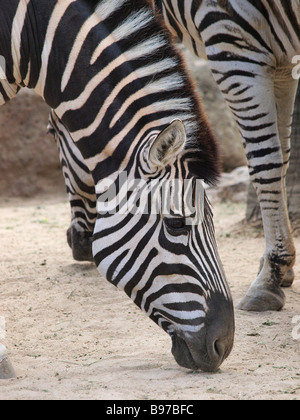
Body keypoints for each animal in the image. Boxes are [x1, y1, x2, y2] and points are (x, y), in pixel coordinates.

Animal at [155, 0, 300, 312]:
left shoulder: (233, 47)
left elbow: (264, 163)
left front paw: (270, 276)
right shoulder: (281, 64)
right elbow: (283, 155)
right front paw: (276, 266)